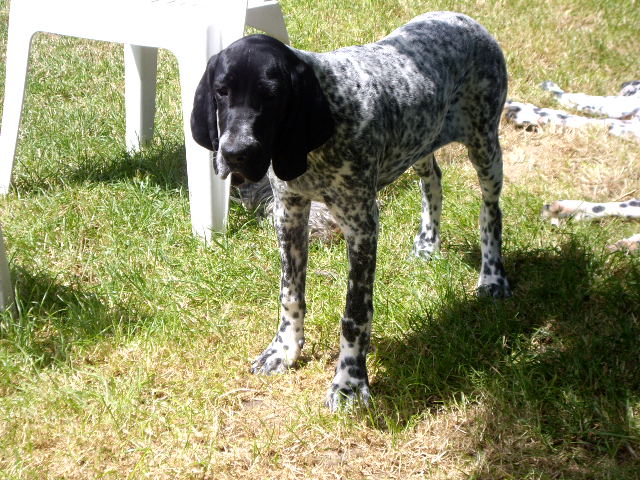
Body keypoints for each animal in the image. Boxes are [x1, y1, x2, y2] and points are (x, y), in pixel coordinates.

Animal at [190, 10, 510, 408]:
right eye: (222, 91)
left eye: (272, 95)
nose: (236, 154)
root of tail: (463, 18)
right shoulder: (289, 213)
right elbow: (290, 293)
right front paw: (284, 350)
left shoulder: (361, 226)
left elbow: (355, 313)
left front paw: (350, 383)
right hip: (420, 140)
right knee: (433, 179)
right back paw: (428, 242)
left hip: (485, 145)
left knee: (490, 212)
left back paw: (492, 276)